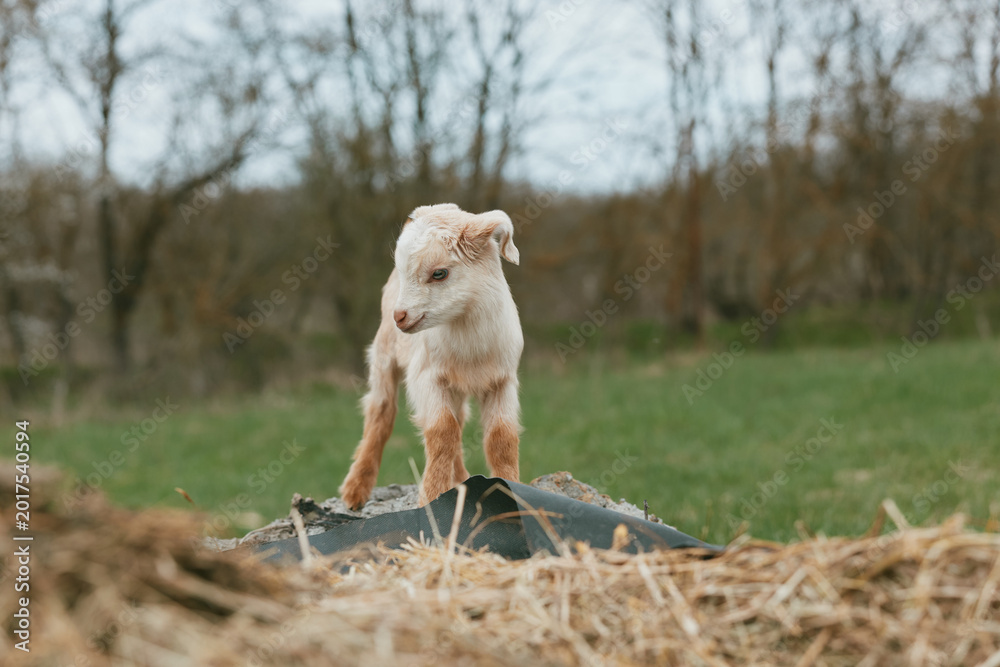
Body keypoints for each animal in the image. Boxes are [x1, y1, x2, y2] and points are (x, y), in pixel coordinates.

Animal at [338, 203, 523, 509]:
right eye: (404, 270)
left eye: (439, 273)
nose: (400, 316)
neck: (470, 345)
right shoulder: (427, 377)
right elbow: (442, 432)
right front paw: (432, 496)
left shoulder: (502, 380)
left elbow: (501, 439)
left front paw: (514, 491)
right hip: (383, 356)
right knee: (381, 413)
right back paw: (356, 490)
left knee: (458, 420)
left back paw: (460, 479)